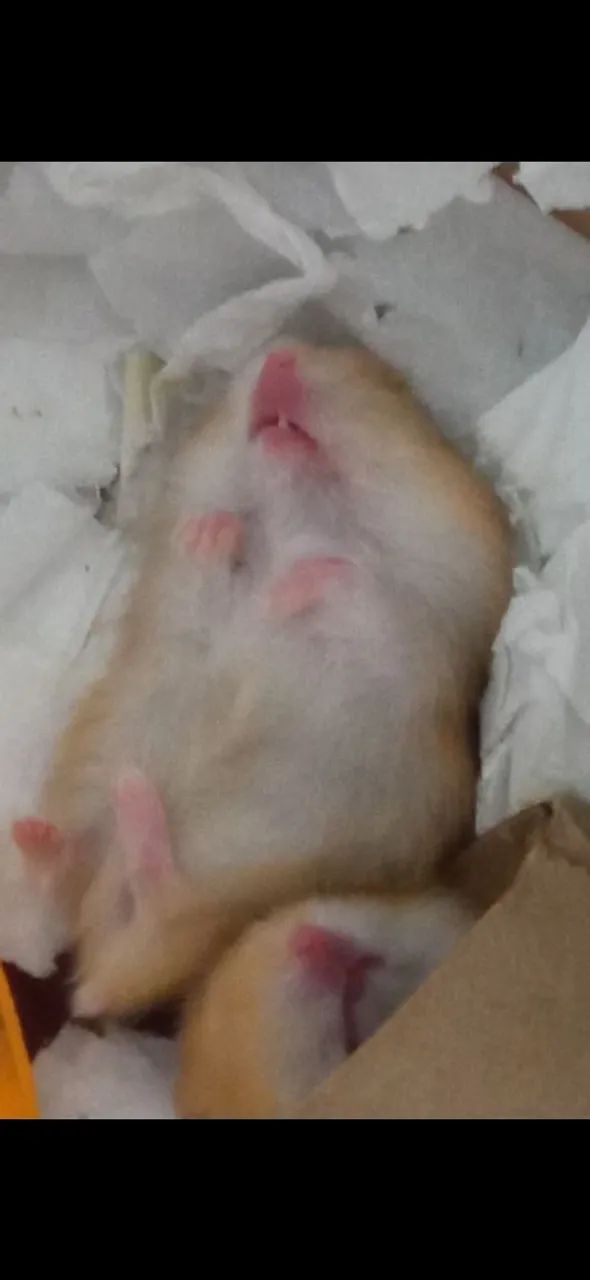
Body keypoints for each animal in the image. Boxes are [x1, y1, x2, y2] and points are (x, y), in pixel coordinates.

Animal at [13, 342, 511, 1019]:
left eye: (392, 387)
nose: (280, 353)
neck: (298, 520)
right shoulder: (183, 613)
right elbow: (205, 583)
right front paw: (216, 532)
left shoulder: (426, 646)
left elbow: (367, 595)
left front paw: (298, 580)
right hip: (96, 774)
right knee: (67, 901)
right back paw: (45, 836)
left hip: (235, 879)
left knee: (157, 916)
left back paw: (130, 818)